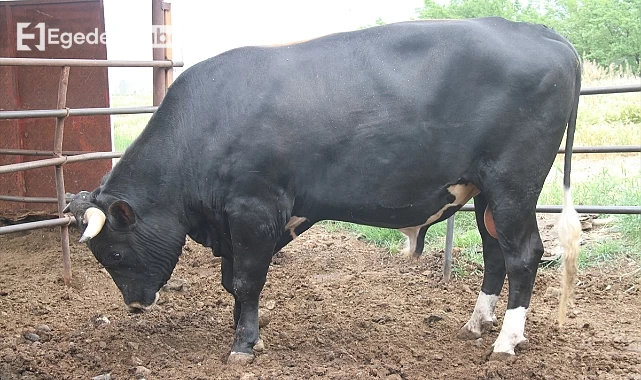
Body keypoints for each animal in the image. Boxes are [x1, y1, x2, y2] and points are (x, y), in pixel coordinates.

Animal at [65, 18, 580, 366]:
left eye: (114, 254)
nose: (136, 305)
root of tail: (543, 34)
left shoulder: (254, 209)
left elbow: (247, 280)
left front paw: (242, 346)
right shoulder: (238, 221)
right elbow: (233, 282)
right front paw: (250, 333)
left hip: (514, 185)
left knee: (524, 254)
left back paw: (506, 341)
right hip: (485, 193)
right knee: (496, 253)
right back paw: (477, 323)